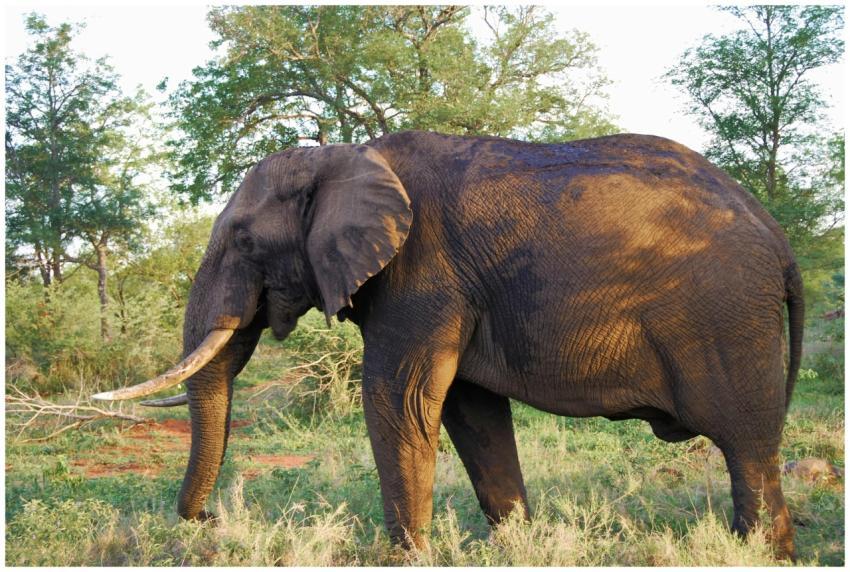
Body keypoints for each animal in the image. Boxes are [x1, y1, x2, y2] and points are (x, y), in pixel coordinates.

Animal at [94, 130, 804, 560]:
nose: (211, 523)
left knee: (747, 448)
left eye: (243, 240)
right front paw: (515, 552)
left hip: (729, 320)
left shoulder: (424, 274)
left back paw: (757, 554)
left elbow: (399, 400)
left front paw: (407, 559)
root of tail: (775, 234)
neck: (343, 157)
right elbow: (471, 411)